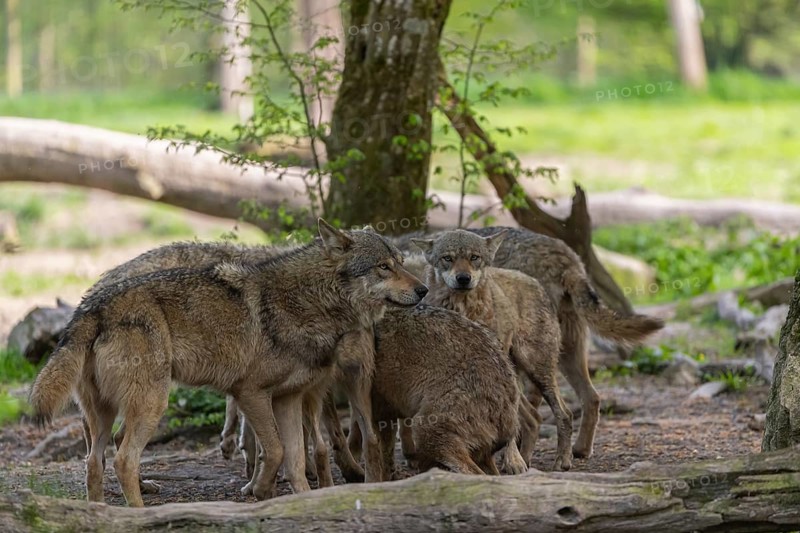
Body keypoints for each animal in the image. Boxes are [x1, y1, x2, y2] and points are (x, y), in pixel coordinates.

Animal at [28, 220, 427, 506]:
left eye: (401, 264)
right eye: (383, 267)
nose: (423, 290)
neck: (309, 302)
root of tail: (90, 306)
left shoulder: (289, 399)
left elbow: (298, 460)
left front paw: (300, 502)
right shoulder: (250, 393)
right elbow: (276, 451)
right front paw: (260, 491)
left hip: (106, 413)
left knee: (94, 462)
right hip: (153, 404)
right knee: (124, 459)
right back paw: (139, 513)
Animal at [394, 226, 664, 459]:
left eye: (474, 257)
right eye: (447, 259)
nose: (463, 278)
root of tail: (565, 255)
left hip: (536, 362)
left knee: (541, 408)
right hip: (564, 354)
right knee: (591, 397)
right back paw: (578, 451)